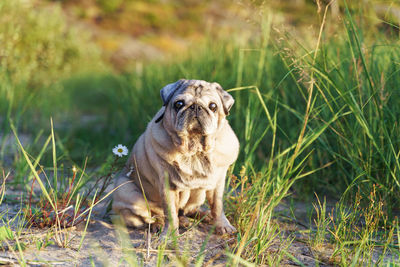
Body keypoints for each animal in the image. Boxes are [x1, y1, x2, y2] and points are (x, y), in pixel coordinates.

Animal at [111, 79, 239, 237]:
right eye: (179, 104)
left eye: (213, 106)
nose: (196, 107)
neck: (194, 150)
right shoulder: (168, 185)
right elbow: (170, 213)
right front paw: (170, 235)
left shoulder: (217, 183)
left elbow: (217, 206)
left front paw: (223, 225)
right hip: (128, 193)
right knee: (152, 217)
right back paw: (160, 225)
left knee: (187, 211)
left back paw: (202, 216)